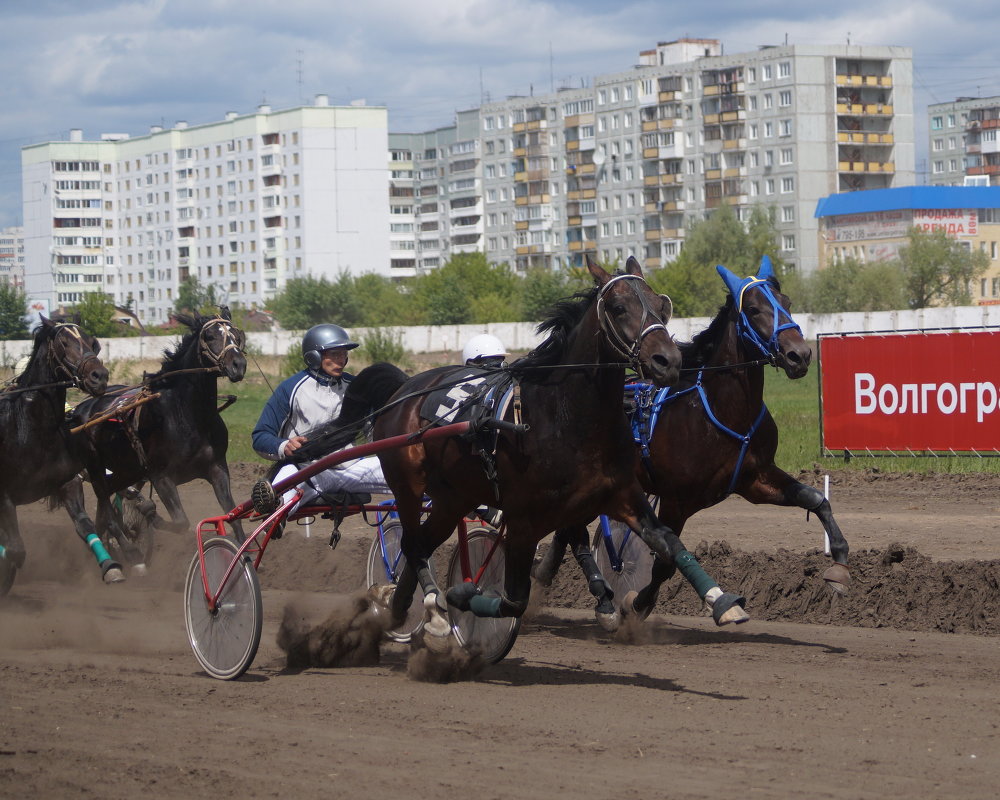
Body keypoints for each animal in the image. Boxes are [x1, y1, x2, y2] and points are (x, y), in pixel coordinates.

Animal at [0, 318, 109, 592]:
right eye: (64, 343)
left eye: (93, 342)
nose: (100, 376)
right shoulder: (4, 495)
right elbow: (15, 550)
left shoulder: (67, 482)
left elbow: (85, 525)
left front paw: (111, 567)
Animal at [64, 304, 248, 568]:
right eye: (210, 336)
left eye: (235, 334)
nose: (238, 364)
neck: (188, 415)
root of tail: (79, 411)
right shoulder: (161, 475)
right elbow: (180, 522)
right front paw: (149, 512)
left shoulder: (217, 467)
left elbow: (232, 514)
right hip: (99, 471)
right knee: (105, 510)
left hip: (124, 471)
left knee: (105, 506)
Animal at [372, 256, 708, 648]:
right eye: (618, 307)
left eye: (659, 305)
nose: (668, 361)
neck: (565, 417)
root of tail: (404, 388)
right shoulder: (522, 518)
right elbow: (514, 599)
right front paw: (464, 597)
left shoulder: (620, 495)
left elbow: (667, 542)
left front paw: (721, 601)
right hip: (408, 487)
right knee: (411, 544)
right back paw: (426, 608)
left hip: (452, 497)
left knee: (422, 544)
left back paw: (404, 610)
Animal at [536, 256, 848, 624]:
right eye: (754, 309)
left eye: (786, 303)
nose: (799, 355)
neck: (722, 410)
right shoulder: (677, 499)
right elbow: (665, 562)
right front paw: (639, 605)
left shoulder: (755, 479)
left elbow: (817, 499)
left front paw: (839, 566)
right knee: (573, 532)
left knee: (569, 531)